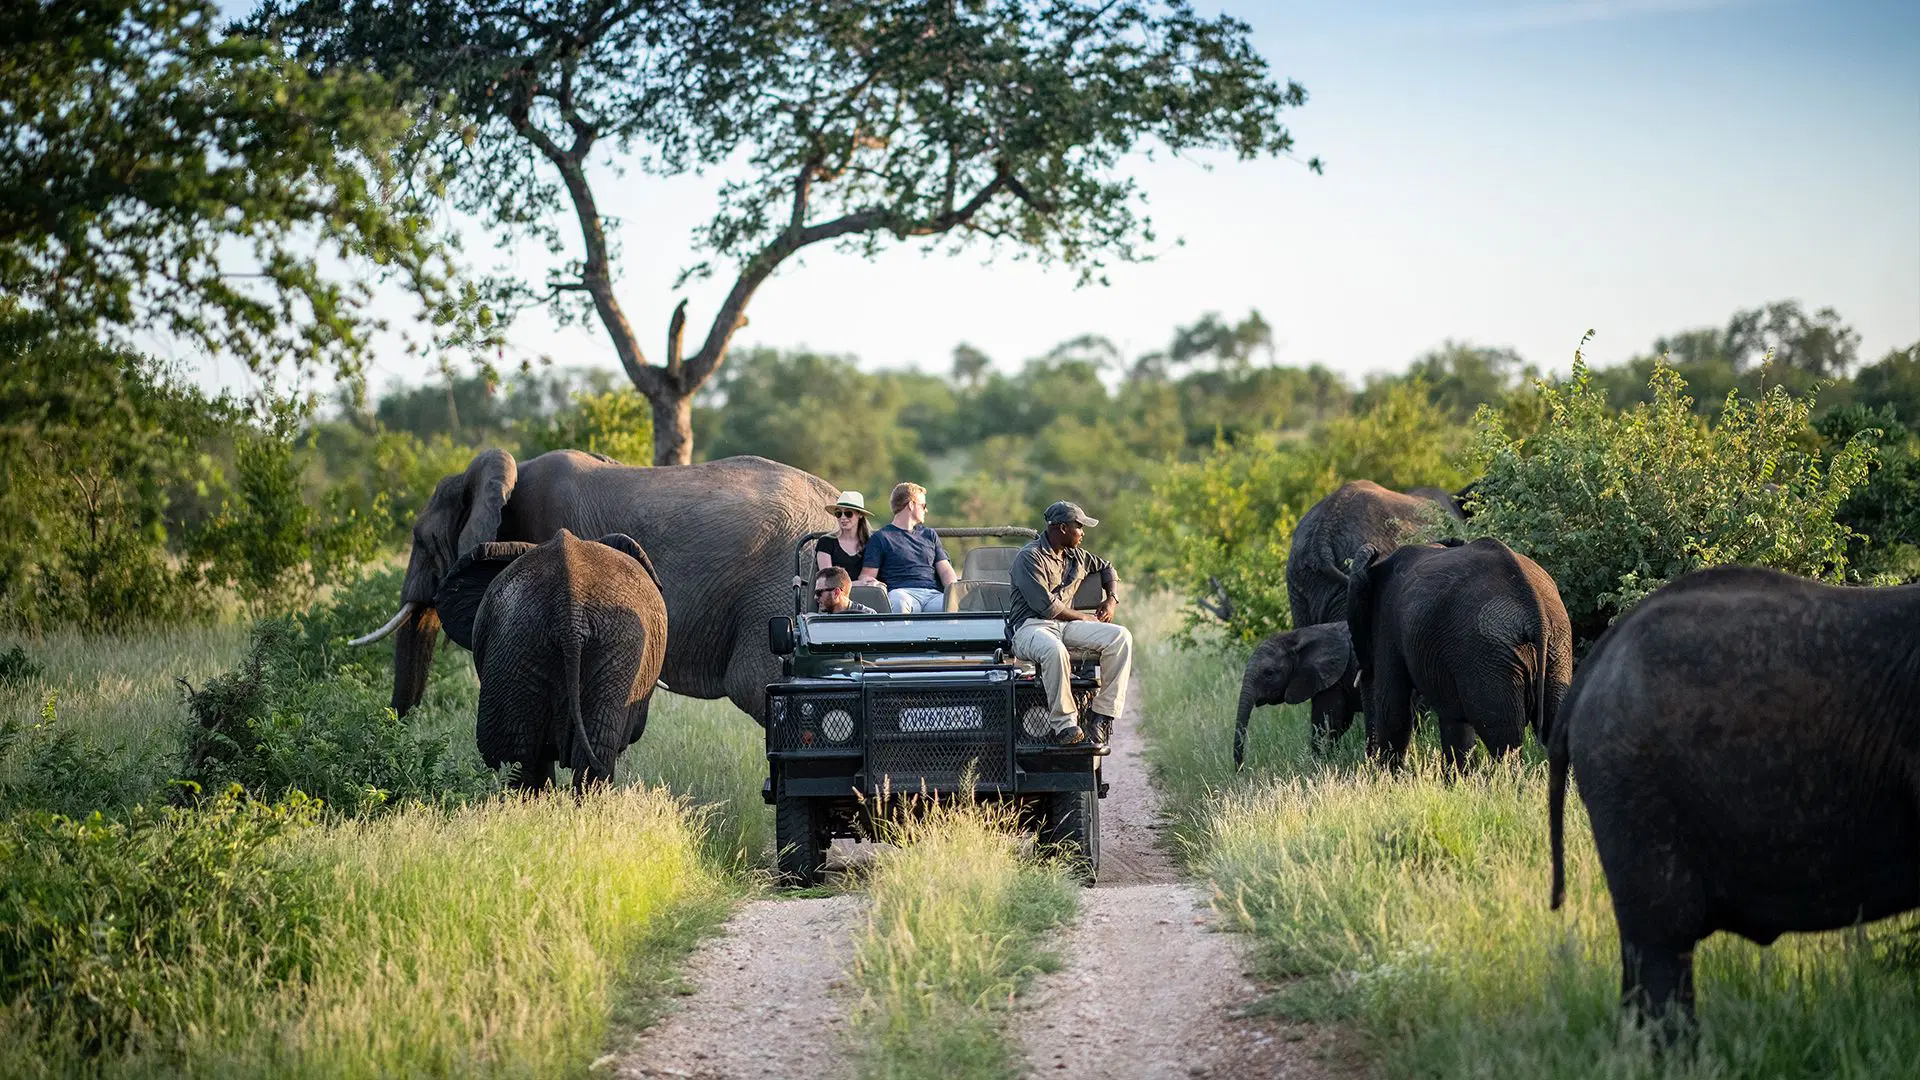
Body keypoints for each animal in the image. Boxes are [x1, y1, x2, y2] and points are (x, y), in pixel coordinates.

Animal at [1344, 538, 1566, 764]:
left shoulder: (1386, 624)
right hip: (1555, 645)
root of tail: (1535, 610)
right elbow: (1455, 723)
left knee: (1503, 736)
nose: (1368, 762)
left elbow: (1393, 710)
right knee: (1554, 721)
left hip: (1486, 653)